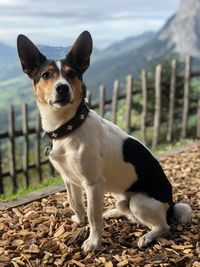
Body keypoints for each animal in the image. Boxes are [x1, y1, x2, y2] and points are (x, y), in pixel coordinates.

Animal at [16, 31, 191, 253]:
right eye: (46, 75)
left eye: (72, 74)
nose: (62, 88)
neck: (69, 128)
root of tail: (171, 204)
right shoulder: (69, 180)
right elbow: (76, 203)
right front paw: (80, 220)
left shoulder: (92, 185)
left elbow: (93, 216)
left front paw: (93, 241)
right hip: (121, 197)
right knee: (127, 212)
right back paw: (113, 213)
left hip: (139, 201)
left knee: (163, 226)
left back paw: (148, 236)